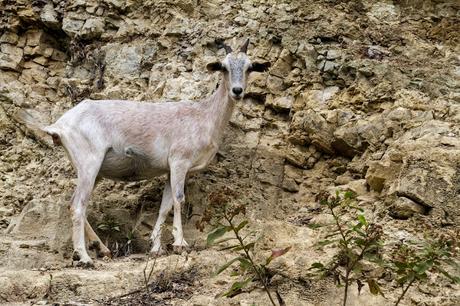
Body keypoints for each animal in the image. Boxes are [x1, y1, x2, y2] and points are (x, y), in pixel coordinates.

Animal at [16, 39, 272, 266]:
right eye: (224, 67)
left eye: (249, 67)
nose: (237, 91)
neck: (204, 116)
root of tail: (59, 125)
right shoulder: (179, 161)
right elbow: (179, 199)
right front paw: (180, 244)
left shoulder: (170, 170)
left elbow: (165, 205)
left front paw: (156, 247)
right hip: (89, 162)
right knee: (78, 205)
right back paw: (85, 257)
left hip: (91, 169)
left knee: (74, 203)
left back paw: (104, 249)